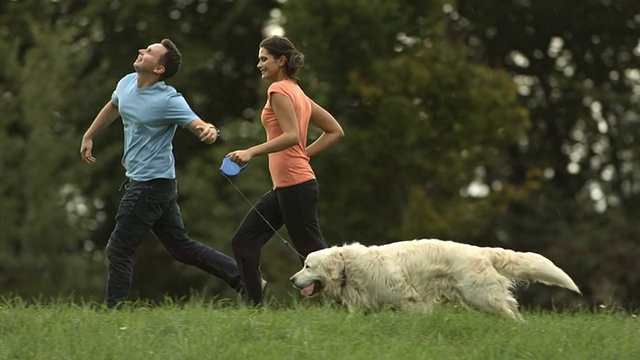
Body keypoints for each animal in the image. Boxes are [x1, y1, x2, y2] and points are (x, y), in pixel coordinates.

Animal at [292, 239, 584, 320]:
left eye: (307, 266)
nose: (292, 279)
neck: (348, 267)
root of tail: (482, 251)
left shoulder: (407, 296)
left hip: (481, 295)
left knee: (510, 311)